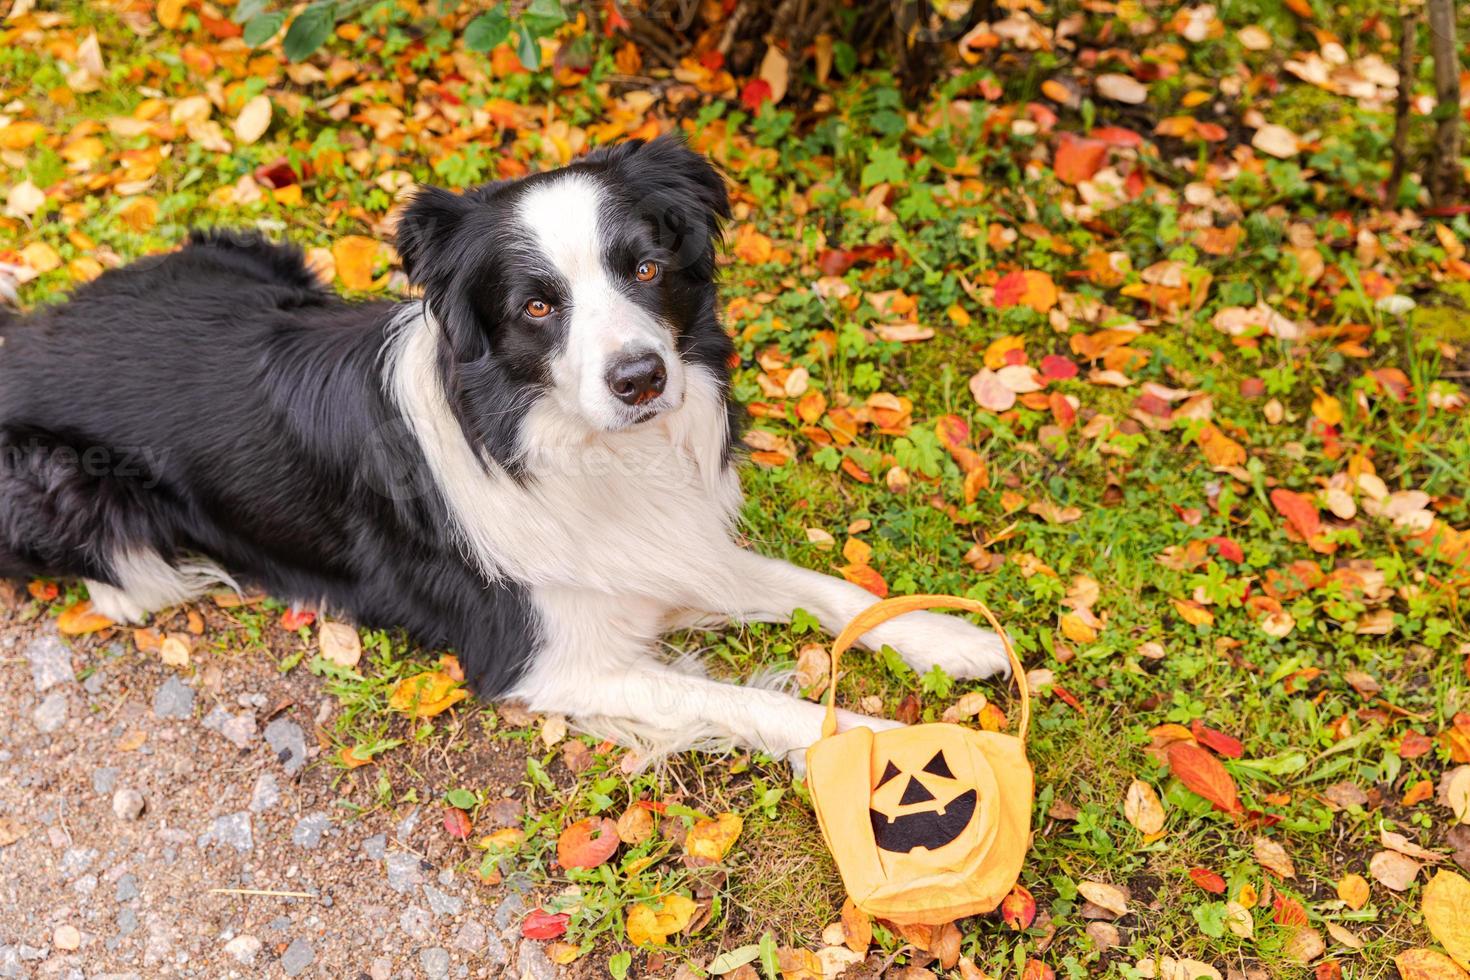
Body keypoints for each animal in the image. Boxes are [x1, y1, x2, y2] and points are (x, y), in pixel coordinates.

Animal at [0, 138, 1011, 764]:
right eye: (536, 306)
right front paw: (908, 748)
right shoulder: (548, 660)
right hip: (59, 486)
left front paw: (951, 638)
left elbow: (831, 589)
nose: (641, 378)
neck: (567, 447)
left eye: (646, 267)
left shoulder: (669, 548)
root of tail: (25, 332)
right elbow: (775, 705)